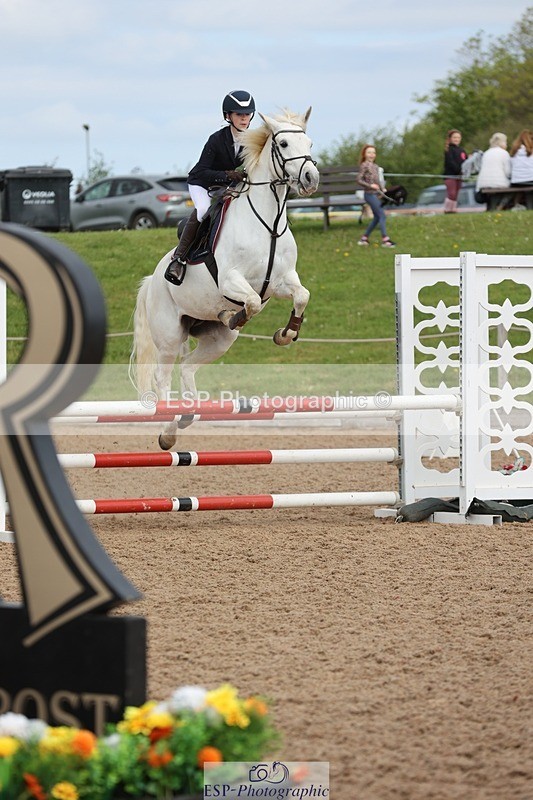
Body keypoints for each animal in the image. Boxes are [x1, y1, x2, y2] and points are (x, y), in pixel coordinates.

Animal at [130, 107, 320, 450]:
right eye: (283, 143)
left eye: (310, 142)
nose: (311, 179)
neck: (269, 223)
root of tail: (152, 281)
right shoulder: (231, 280)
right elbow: (253, 302)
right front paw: (236, 315)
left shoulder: (283, 280)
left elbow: (302, 296)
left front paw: (285, 334)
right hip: (169, 336)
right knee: (163, 378)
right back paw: (168, 430)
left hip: (218, 340)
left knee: (188, 366)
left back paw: (189, 413)